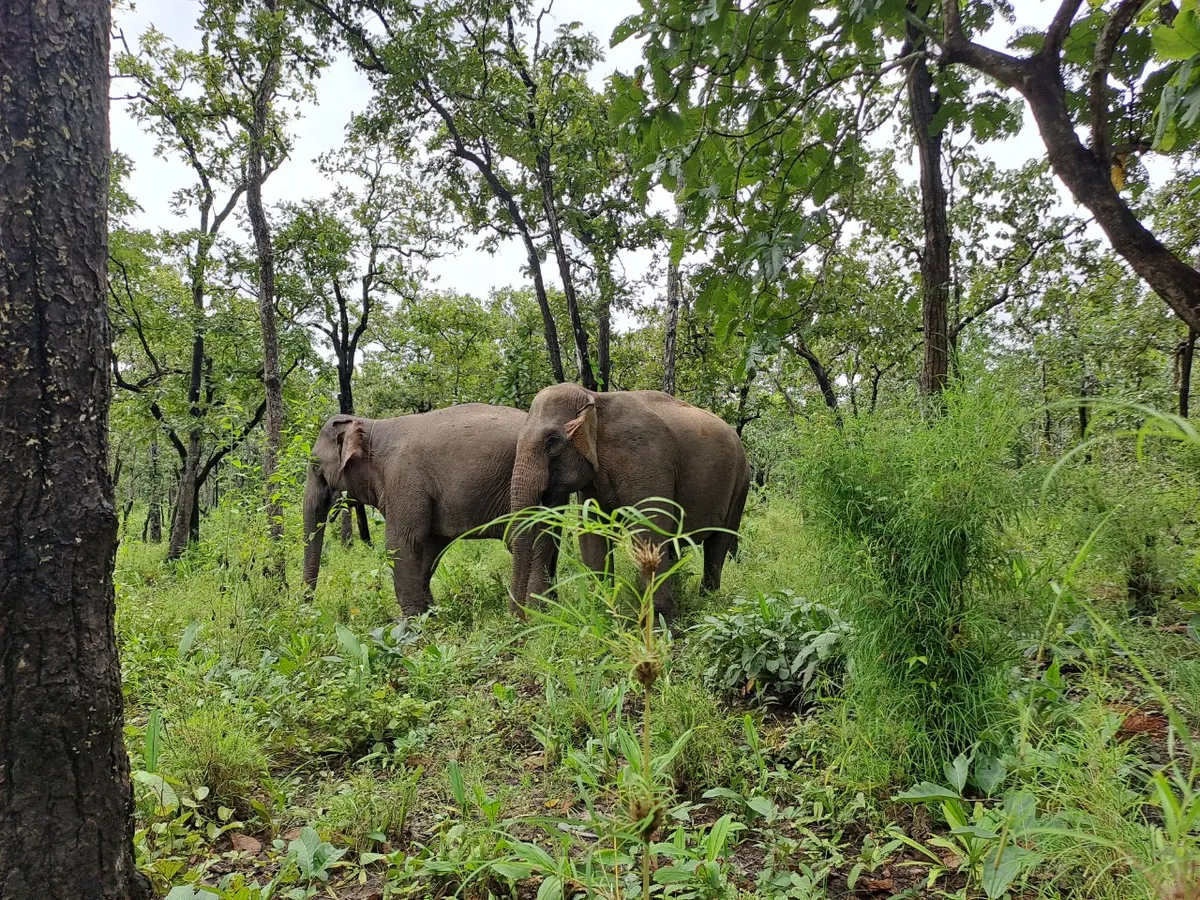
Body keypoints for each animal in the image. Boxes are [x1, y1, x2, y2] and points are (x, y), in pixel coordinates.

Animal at [302, 408, 547, 619]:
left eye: (315, 465)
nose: (309, 612)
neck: (371, 426)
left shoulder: (403, 478)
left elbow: (402, 542)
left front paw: (409, 624)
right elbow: (431, 545)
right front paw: (430, 613)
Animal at [506, 384, 748, 624]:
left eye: (552, 441)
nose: (520, 619)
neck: (594, 398)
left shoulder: (645, 456)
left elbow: (649, 529)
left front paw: (660, 625)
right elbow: (592, 534)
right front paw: (603, 614)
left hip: (740, 484)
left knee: (719, 542)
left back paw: (709, 603)